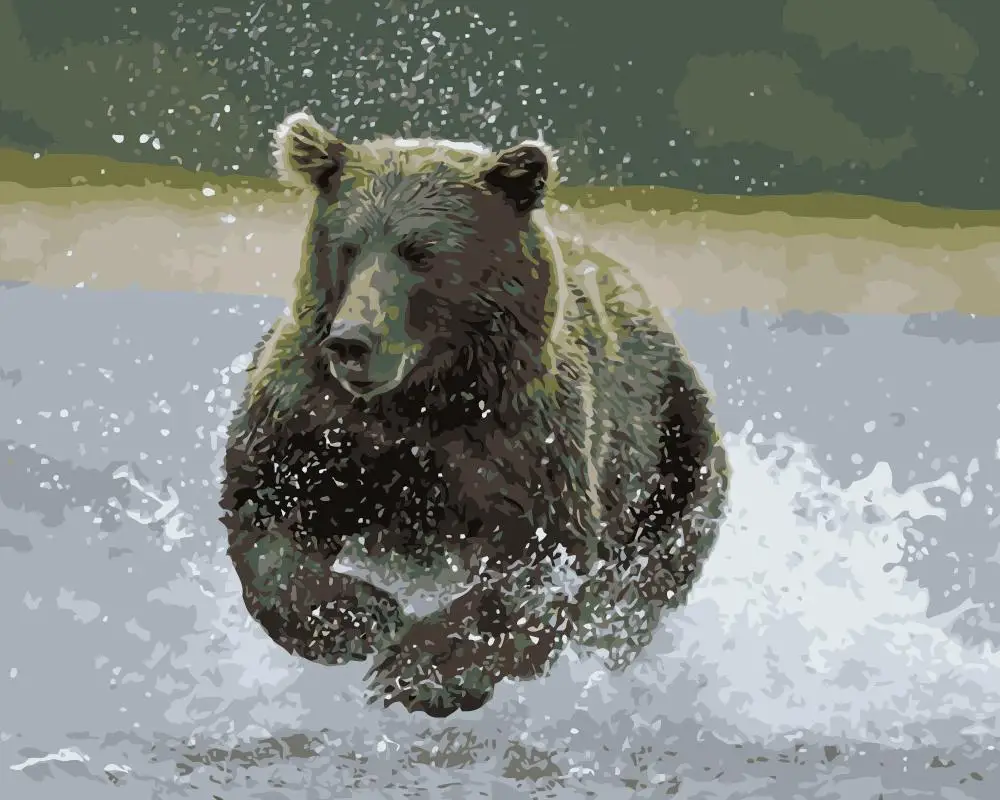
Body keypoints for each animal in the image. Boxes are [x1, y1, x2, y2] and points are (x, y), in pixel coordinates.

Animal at [219, 109, 730, 719]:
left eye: (420, 250)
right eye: (348, 245)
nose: (352, 341)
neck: (425, 395)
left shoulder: (524, 444)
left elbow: (538, 563)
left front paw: (419, 670)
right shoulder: (316, 423)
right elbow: (266, 509)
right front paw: (358, 618)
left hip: (676, 454)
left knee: (634, 592)